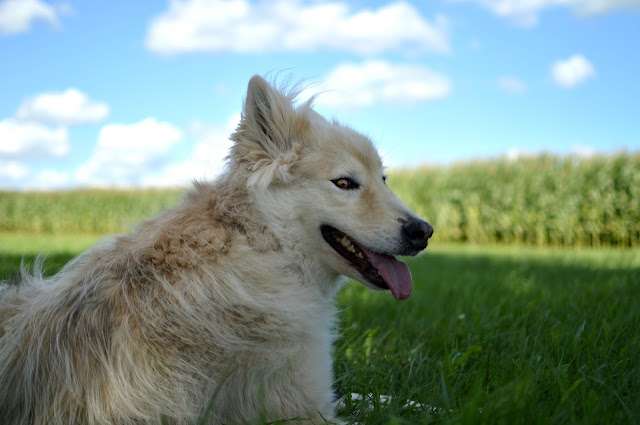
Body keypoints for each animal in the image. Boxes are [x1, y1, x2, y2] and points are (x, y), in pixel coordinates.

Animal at [0, 74, 432, 422]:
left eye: (383, 179)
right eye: (344, 183)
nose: (425, 231)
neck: (261, 243)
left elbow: (374, 396)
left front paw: (421, 403)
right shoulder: (303, 411)